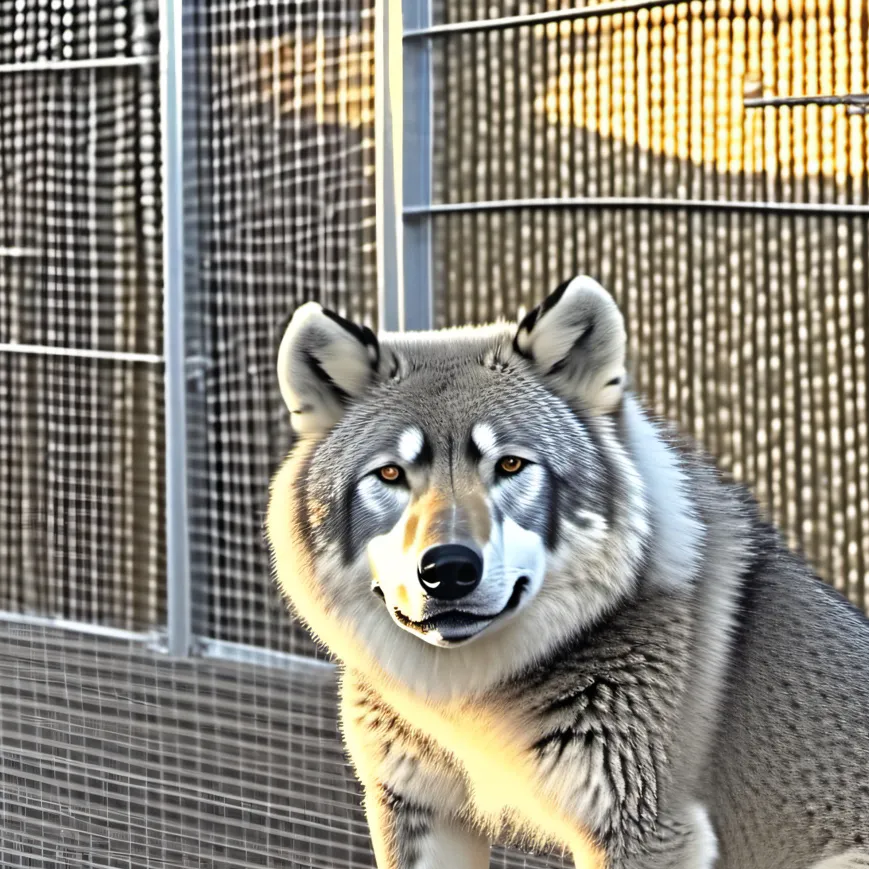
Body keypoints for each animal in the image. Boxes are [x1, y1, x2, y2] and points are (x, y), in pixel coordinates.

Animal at [265, 276, 869, 869]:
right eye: (390, 474)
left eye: (510, 464)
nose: (449, 570)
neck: (470, 695)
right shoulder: (414, 804)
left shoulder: (647, 831)